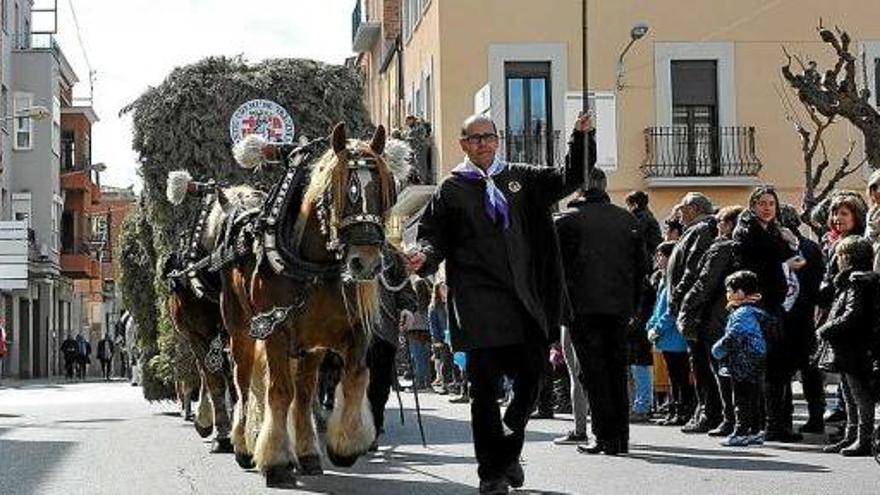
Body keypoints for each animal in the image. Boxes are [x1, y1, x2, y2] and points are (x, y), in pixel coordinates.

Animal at [162, 173, 264, 454]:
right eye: (233, 227)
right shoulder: (198, 334)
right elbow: (214, 379)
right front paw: (222, 433)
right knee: (208, 371)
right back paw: (206, 420)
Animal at [223, 124, 410, 488]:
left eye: (385, 191)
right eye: (343, 191)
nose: (366, 263)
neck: (314, 268)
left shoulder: (346, 333)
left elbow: (353, 378)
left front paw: (345, 445)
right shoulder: (275, 331)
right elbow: (279, 391)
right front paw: (276, 461)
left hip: (308, 348)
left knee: (304, 392)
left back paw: (306, 452)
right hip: (241, 331)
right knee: (244, 383)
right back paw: (243, 443)